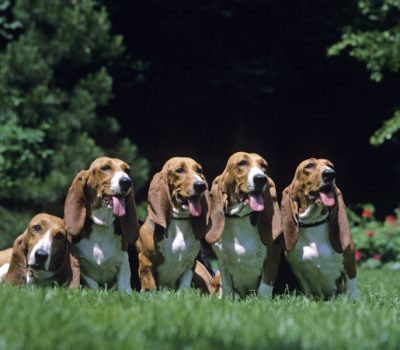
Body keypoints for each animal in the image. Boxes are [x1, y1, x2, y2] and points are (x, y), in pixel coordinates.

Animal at [63, 157, 139, 292]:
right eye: (105, 167)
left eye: (127, 170)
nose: (127, 182)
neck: (102, 225)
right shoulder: (80, 265)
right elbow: (92, 283)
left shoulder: (123, 261)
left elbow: (123, 284)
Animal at [138, 157, 216, 292]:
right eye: (179, 170)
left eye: (199, 170)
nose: (201, 185)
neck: (179, 221)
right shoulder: (146, 263)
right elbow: (150, 289)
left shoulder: (189, 266)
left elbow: (183, 289)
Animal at [205, 151, 282, 298]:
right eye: (242, 163)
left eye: (264, 166)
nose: (261, 178)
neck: (240, 218)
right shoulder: (222, 263)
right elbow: (228, 289)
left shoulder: (271, 260)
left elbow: (264, 289)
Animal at [280, 157, 358, 300]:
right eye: (309, 165)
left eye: (331, 165)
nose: (330, 173)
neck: (314, 223)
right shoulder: (298, 271)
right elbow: (308, 292)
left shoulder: (349, 263)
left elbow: (352, 289)